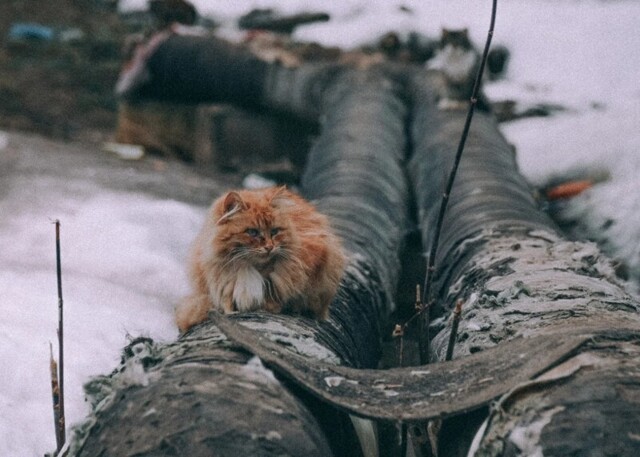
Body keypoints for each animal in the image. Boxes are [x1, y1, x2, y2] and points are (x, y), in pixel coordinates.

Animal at [175, 185, 344, 332]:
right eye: (253, 232)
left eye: (275, 231)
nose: (269, 247)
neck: (248, 267)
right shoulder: (221, 277)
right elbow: (226, 300)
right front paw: (231, 311)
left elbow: (276, 291)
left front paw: (269, 306)